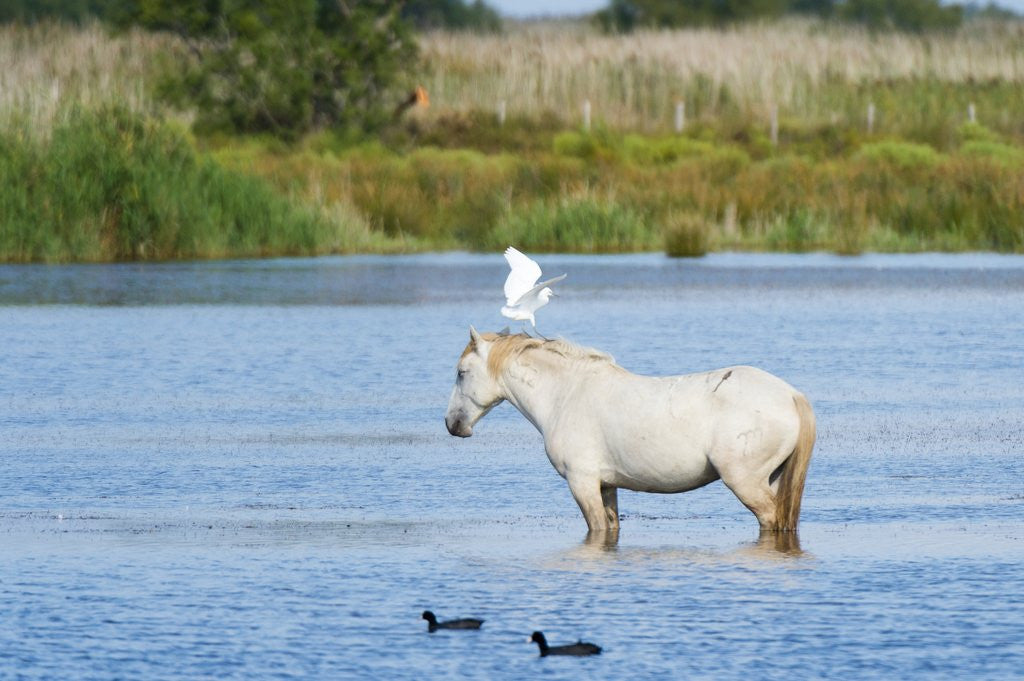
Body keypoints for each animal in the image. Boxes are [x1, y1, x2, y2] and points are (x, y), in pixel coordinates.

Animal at [444, 328, 816, 533]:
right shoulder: (607, 485)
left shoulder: (582, 483)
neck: (566, 394)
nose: (452, 424)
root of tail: (790, 395)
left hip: (746, 482)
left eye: (461, 373)